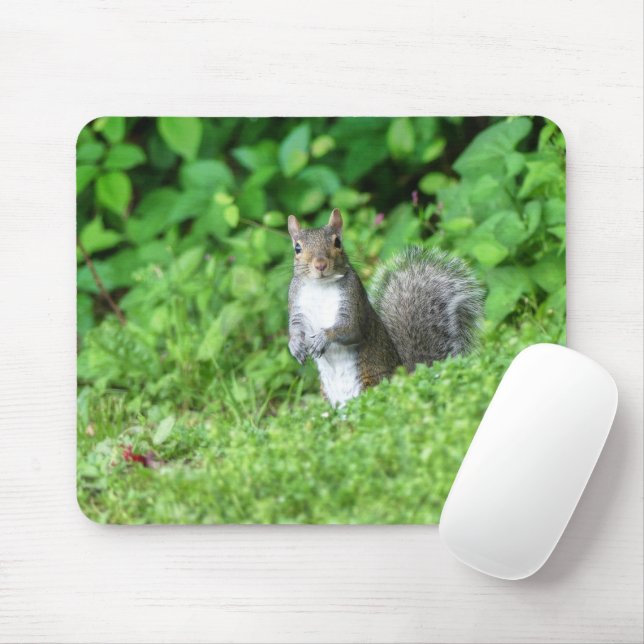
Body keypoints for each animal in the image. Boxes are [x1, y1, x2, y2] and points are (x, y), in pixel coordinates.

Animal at [287, 208, 483, 407]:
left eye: (337, 242)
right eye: (297, 248)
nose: (320, 264)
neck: (321, 286)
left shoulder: (353, 301)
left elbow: (350, 329)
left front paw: (323, 338)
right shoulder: (296, 304)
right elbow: (295, 328)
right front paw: (294, 345)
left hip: (372, 383)